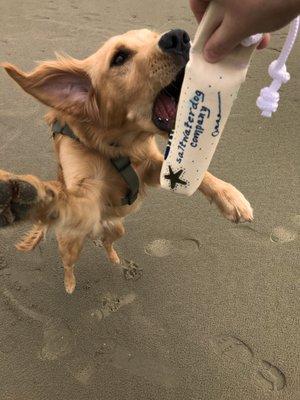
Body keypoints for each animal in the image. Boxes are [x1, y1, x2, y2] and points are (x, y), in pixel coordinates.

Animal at [0, 29, 253, 294]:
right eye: (119, 58)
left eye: (152, 35)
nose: (179, 37)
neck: (117, 147)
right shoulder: (89, 191)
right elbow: (71, 200)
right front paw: (24, 195)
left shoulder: (151, 167)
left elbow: (200, 175)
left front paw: (230, 197)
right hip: (71, 240)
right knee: (68, 261)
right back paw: (70, 282)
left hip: (119, 228)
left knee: (106, 241)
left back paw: (114, 258)